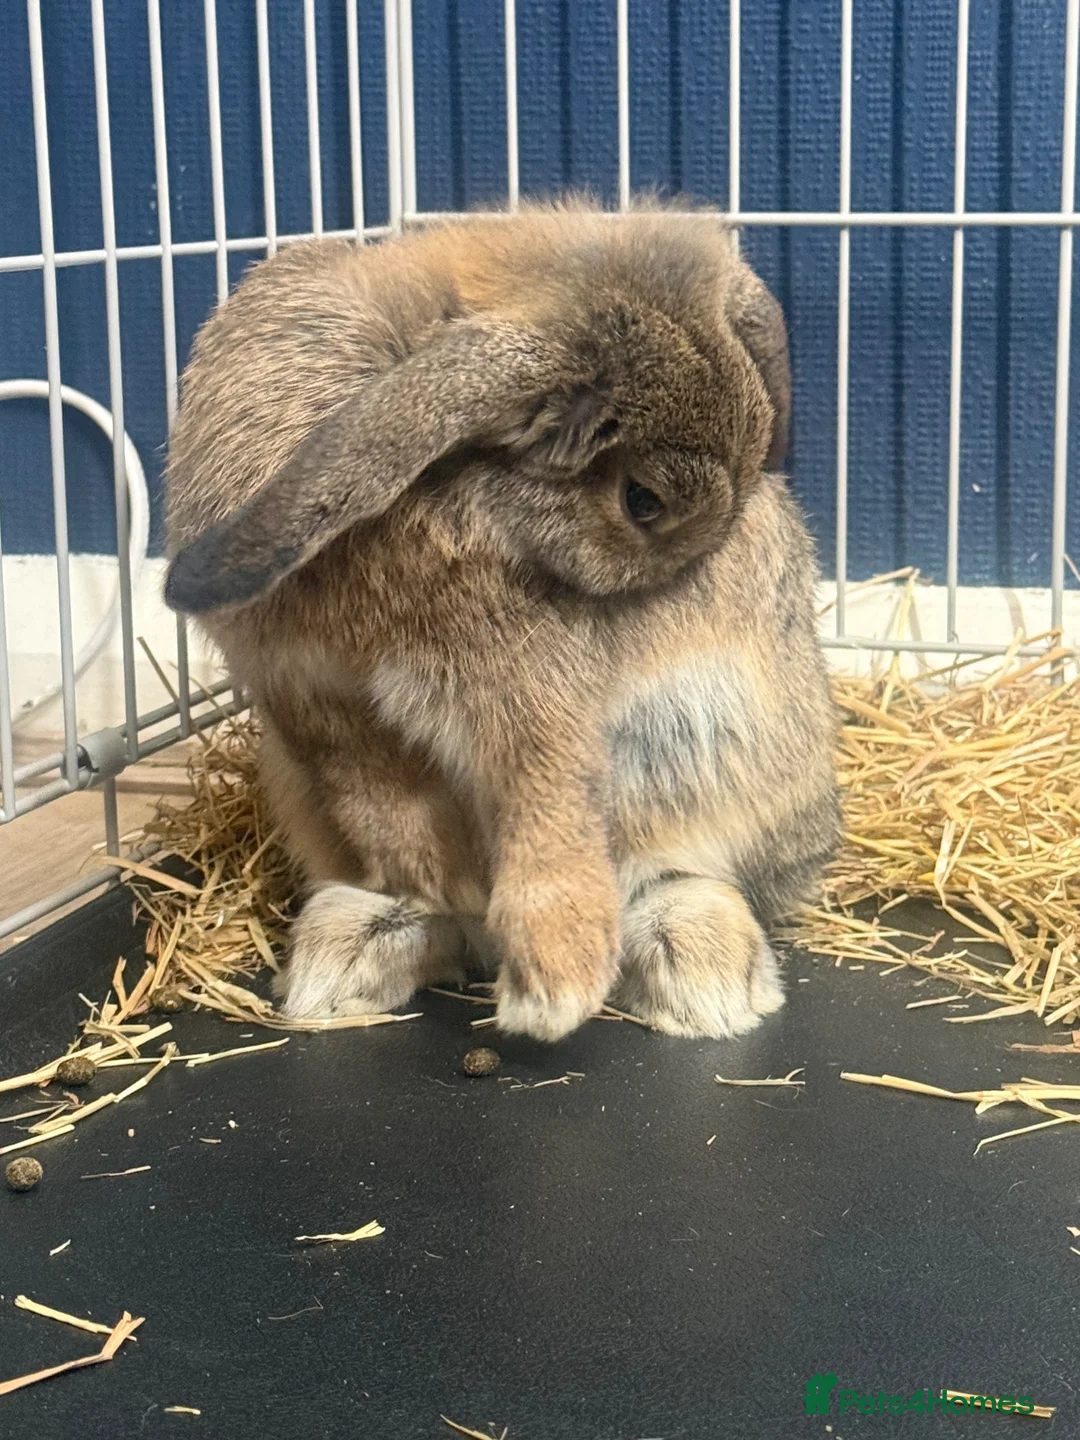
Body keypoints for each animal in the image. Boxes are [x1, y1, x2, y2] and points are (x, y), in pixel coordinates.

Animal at [164, 197, 840, 1043]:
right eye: (643, 499)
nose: (696, 564)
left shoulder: (527, 689)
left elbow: (549, 800)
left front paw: (555, 986)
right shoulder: (311, 696)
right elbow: (385, 806)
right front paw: (443, 884)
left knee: (676, 864)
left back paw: (700, 976)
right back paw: (351, 958)